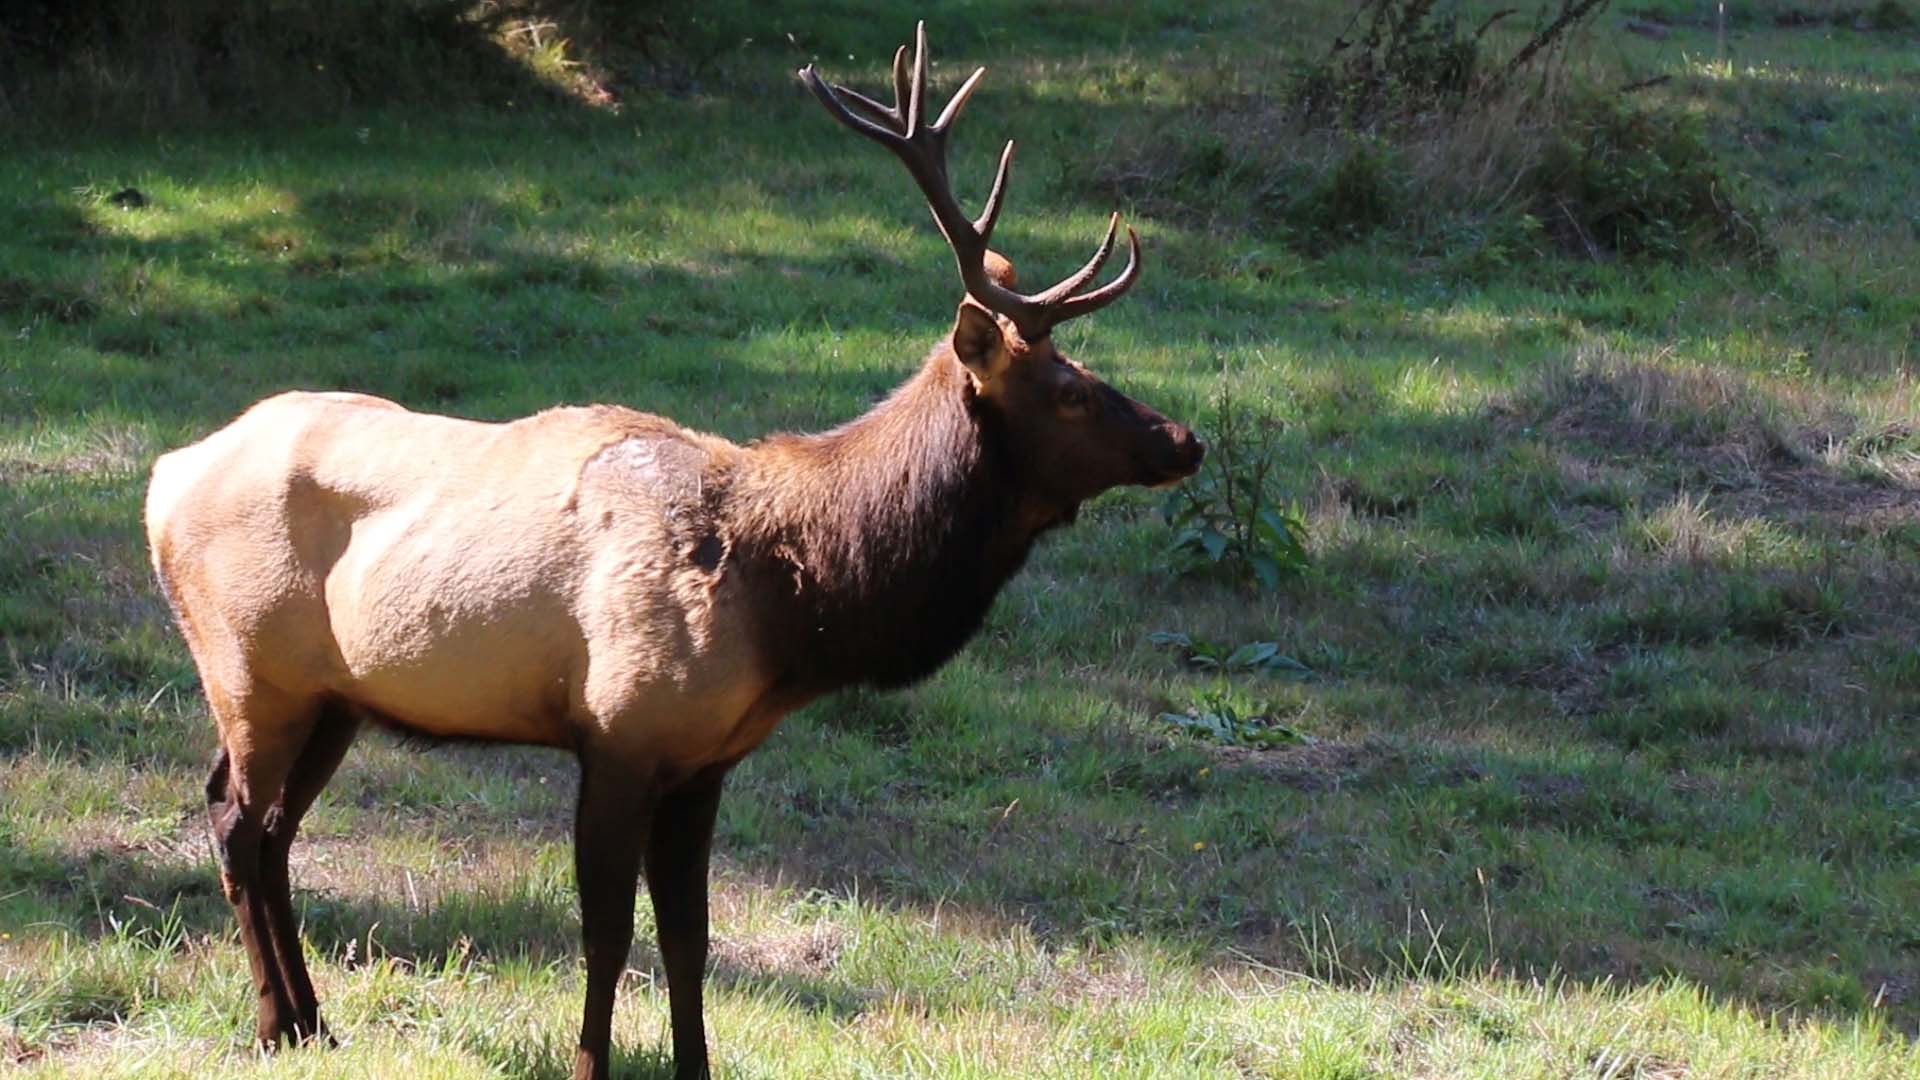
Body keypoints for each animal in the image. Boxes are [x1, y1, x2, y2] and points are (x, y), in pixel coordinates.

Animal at [145, 25, 1198, 1076]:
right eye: (1069, 390)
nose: (1184, 439)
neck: (793, 610)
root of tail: (164, 475)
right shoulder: (619, 731)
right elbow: (607, 935)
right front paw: (590, 1063)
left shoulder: (705, 759)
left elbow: (689, 937)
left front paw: (694, 1063)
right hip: (250, 670)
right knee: (240, 823)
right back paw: (276, 1022)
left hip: (333, 696)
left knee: (267, 825)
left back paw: (312, 1020)